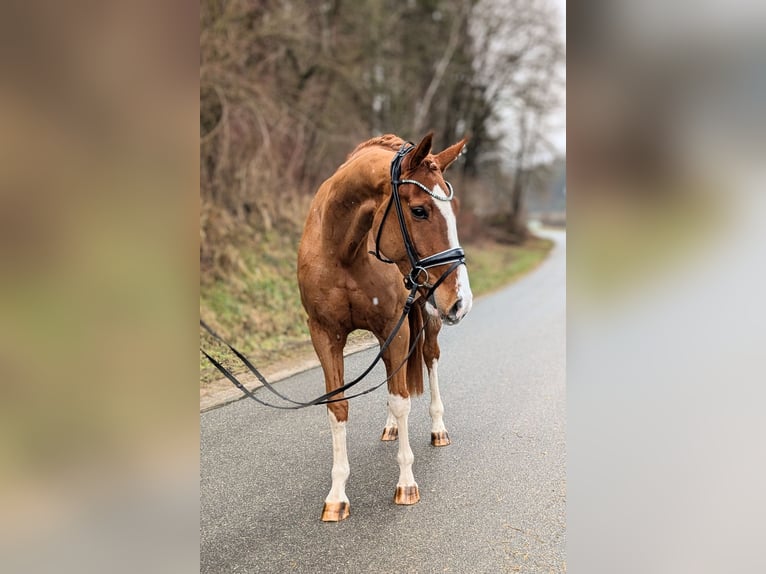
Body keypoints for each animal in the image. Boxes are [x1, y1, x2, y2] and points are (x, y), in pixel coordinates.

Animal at [298, 134, 474, 520]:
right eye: (419, 210)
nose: (461, 300)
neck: (344, 251)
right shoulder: (325, 335)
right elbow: (338, 407)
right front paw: (337, 495)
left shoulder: (397, 326)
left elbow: (401, 399)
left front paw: (406, 483)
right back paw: (392, 427)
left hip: (427, 319)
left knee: (428, 360)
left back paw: (438, 428)